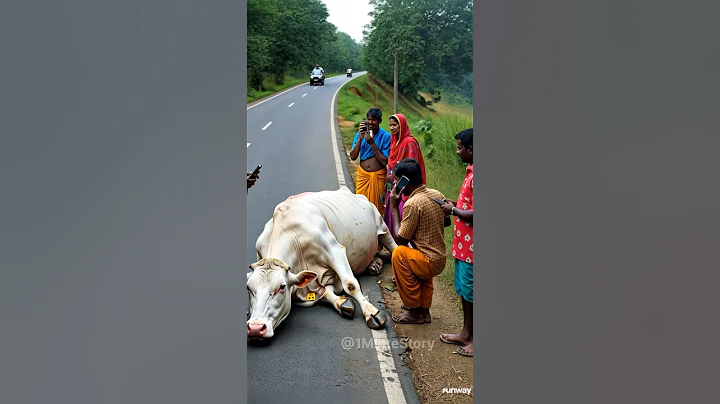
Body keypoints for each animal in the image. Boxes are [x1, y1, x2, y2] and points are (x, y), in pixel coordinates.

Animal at [246, 187, 398, 340]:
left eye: (282, 287)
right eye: (248, 288)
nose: (255, 328)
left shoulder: (334, 250)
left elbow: (350, 285)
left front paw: (371, 313)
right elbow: (325, 293)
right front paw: (342, 303)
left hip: (382, 226)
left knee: (393, 247)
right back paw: (374, 264)